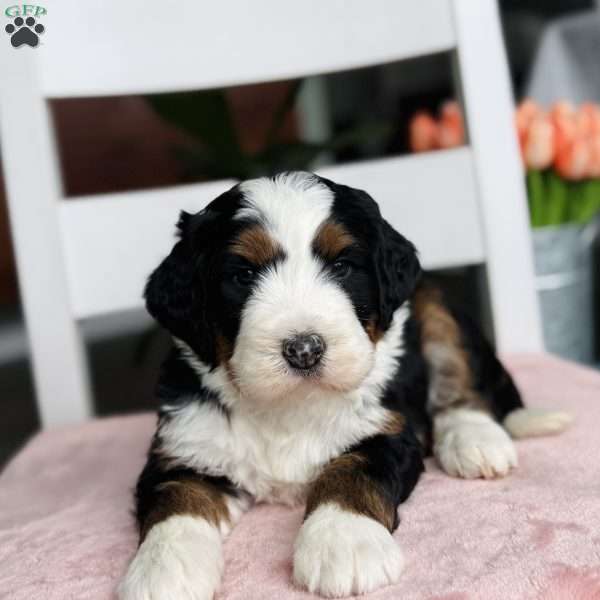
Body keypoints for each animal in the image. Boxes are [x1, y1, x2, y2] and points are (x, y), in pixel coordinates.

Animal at [118, 171, 572, 596]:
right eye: (243, 275)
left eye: (341, 266)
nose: (304, 349)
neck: (289, 408)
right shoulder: (184, 447)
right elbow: (176, 500)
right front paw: (163, 569)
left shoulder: (386, 430)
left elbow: (351, 473)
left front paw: (345, 543)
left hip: (434, 303)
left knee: (460, 386)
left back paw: (476, 441)